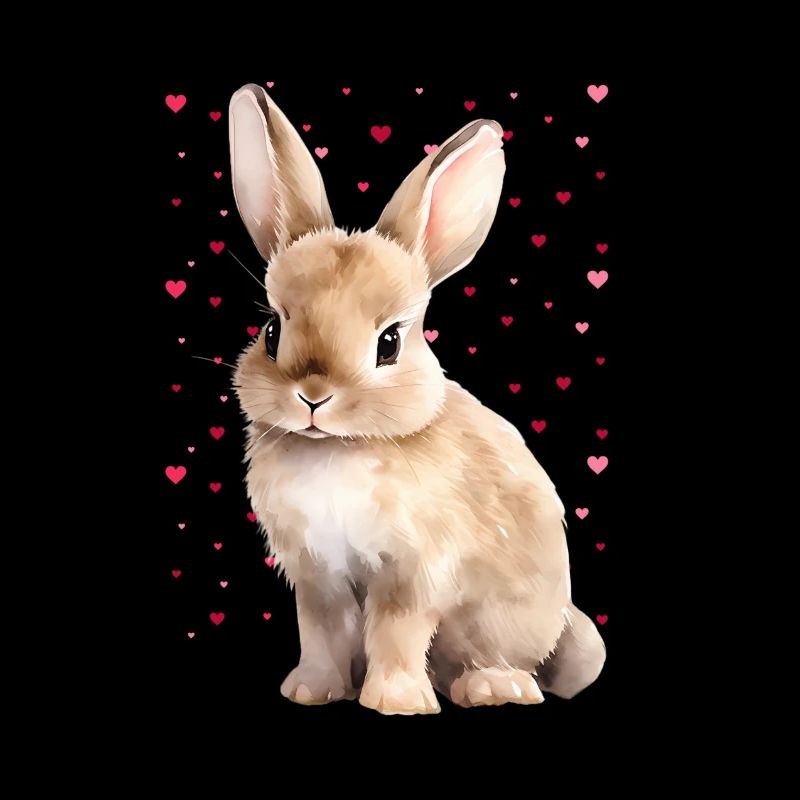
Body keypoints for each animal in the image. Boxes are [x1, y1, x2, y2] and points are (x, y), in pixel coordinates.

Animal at [229, 84, 606, 714]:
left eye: (389, 343)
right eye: (272, 332)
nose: (312, 396)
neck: (338, 448)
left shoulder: (413, 569)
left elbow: (397, 631)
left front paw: (396, 702)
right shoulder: (317, 575)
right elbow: (322, 631)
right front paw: (310, 690)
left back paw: (492, 686)